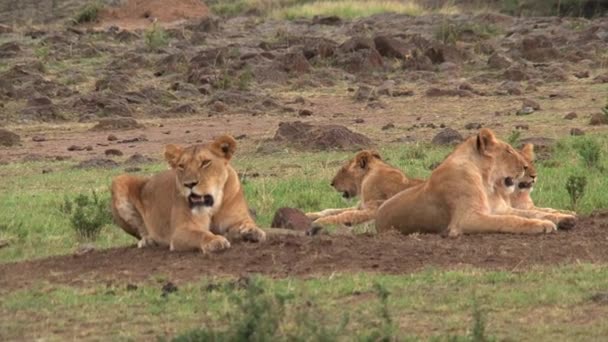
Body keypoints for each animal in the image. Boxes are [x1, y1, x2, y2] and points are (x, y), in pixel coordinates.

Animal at [111, 135, 266, 252]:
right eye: (181, 166)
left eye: (205, 163)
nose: (189, 184)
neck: (213, 204)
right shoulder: (181, 231)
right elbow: (201, 234)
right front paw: (215, 240)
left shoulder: (237, 219)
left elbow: (247, 223)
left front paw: (253, 231)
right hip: (119, 180)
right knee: (141, 232)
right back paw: (149, 241)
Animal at [376, 128, 568, 235]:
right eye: (508, 151)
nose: (527, 168)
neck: (486, 182)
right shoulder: (467, 218)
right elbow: (510, 220)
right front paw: (543, 225)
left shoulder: (498, 209)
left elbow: (529, 213)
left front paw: (565, 218)